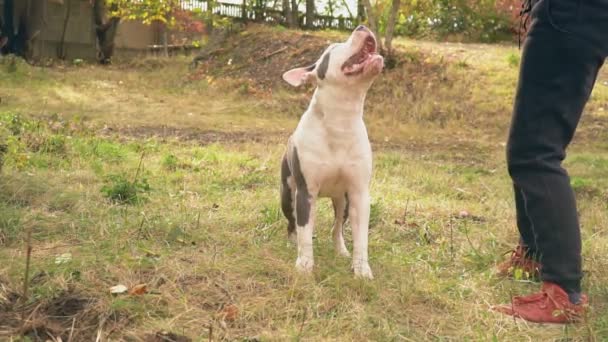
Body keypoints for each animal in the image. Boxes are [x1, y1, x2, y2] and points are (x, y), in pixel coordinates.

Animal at [280, 26, 382, 278]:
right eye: (334, 48)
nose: (362, 26)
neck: (340, 119)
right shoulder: (305, 193)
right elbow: (305, 233)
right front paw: (304, 265)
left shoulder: (359, 194)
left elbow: (361, 237)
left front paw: (361, 269)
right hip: (288, 194)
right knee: (293, 224)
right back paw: (291, 242)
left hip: (342, 200)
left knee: (337, 227)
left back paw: (341, 250)